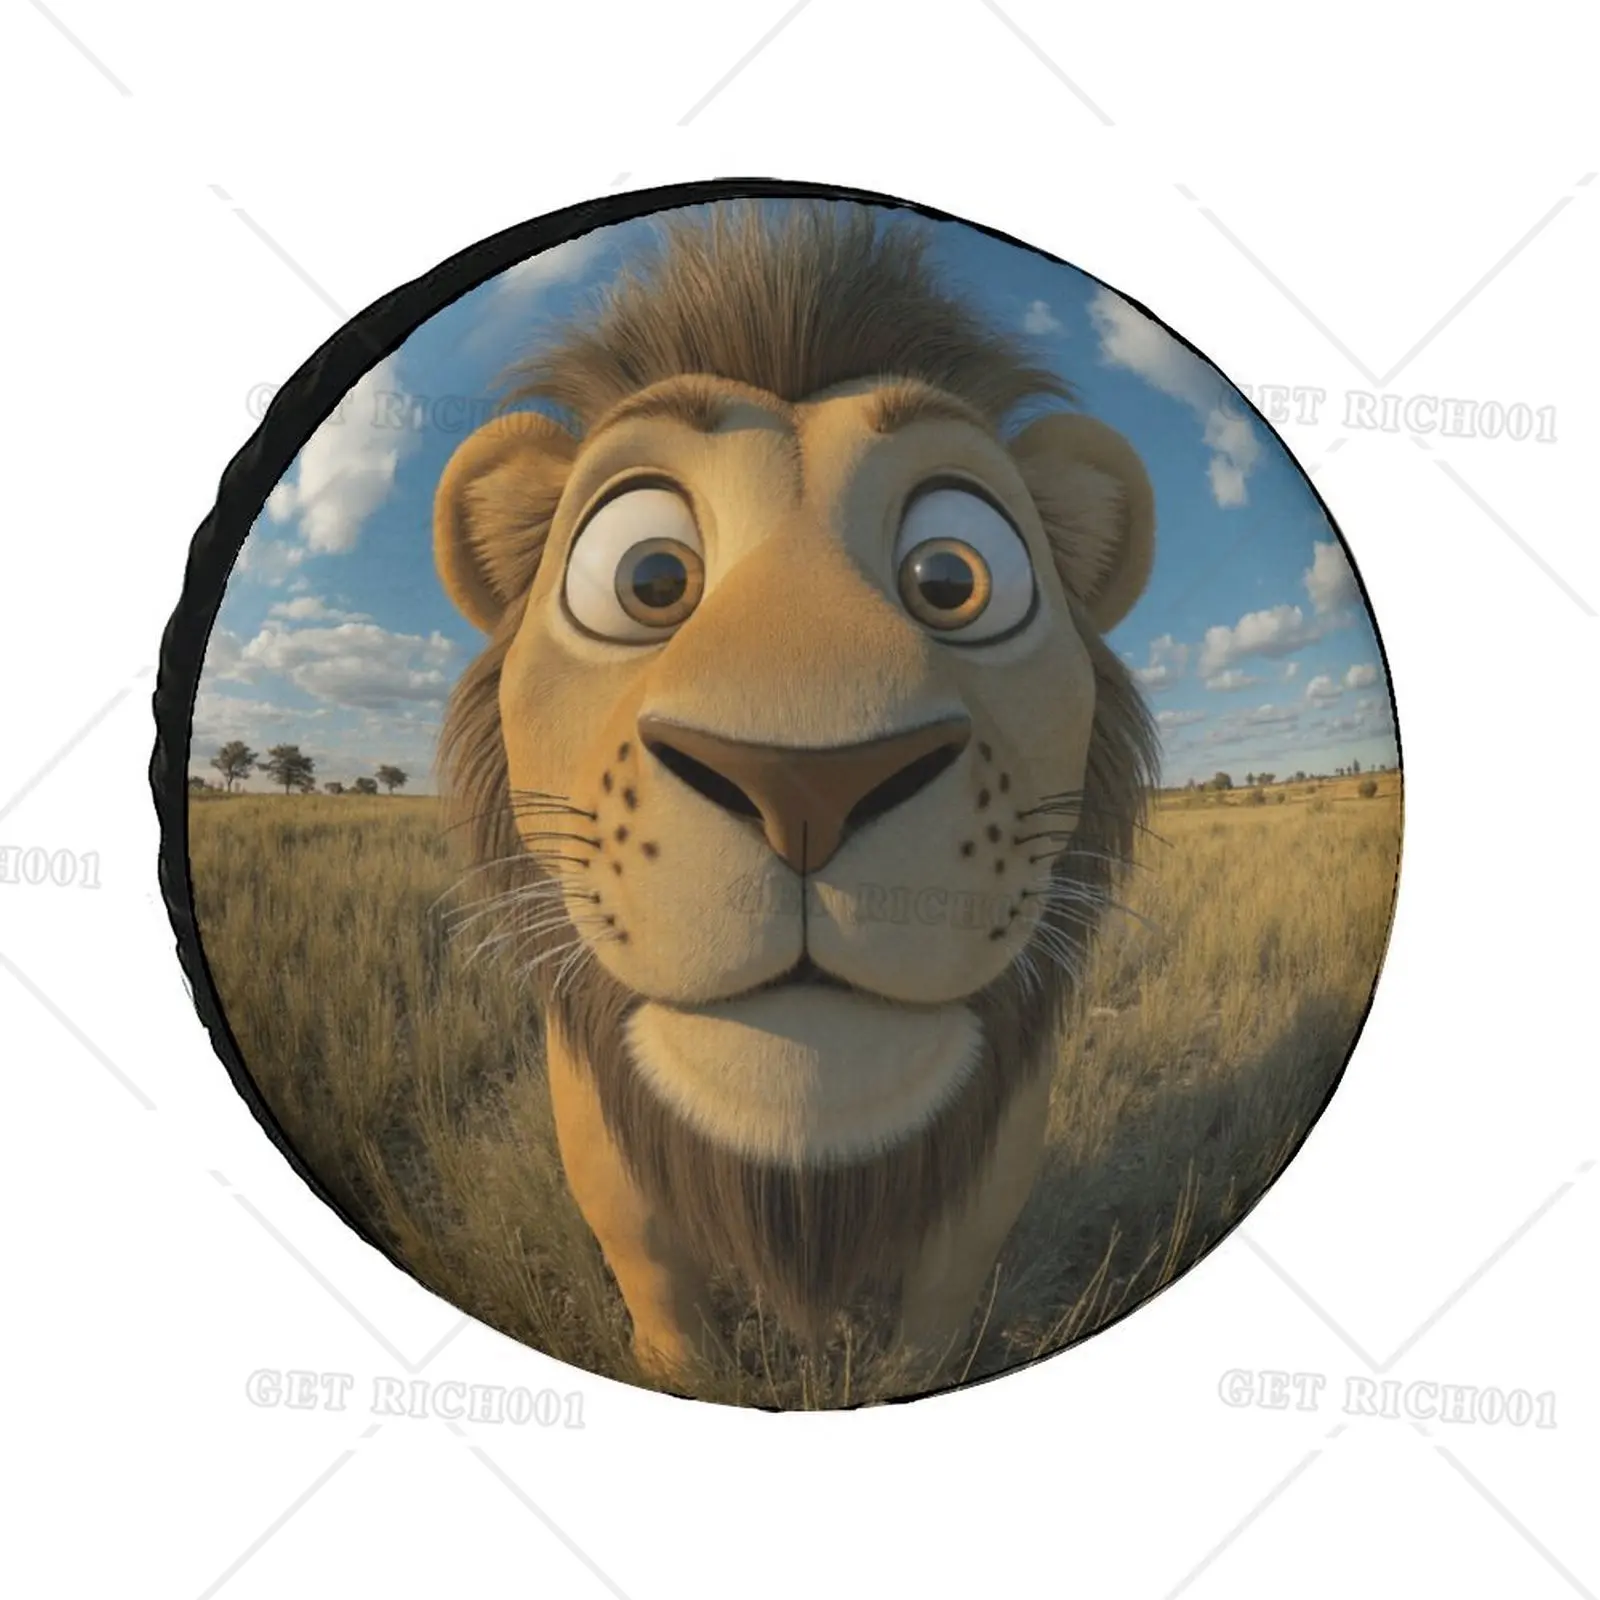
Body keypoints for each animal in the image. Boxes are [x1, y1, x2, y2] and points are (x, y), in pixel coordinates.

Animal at [431, 200, 1159, 1386]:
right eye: (648, 578)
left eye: (952, 578)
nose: (808, 780)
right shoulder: (593, 1119)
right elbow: (651, 1264)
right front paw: (686, 1378)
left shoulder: (1002, 1134)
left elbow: (944, 1290)